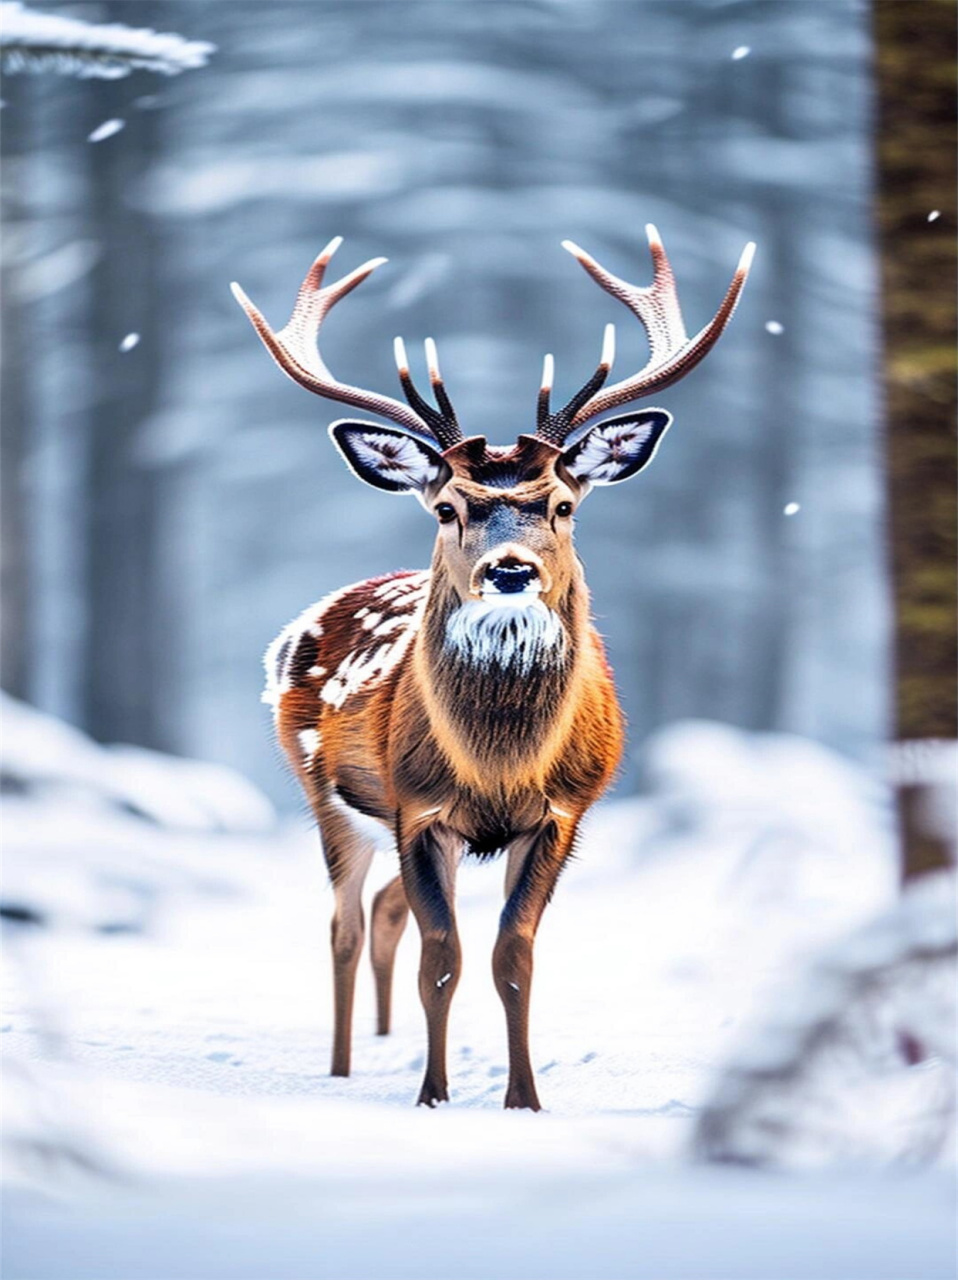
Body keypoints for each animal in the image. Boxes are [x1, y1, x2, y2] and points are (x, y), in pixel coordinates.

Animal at [232, 226, 754, 1110]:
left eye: (563, 504)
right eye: (448, 507)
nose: (510, 570)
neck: (499, 764)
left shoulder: (563, 813)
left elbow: (515, 956)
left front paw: (524, 1100)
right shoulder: (417, 807)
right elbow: (443, 959)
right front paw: (433, 1097)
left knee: (383, 914)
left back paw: (382, 1043)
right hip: (326, 796)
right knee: (345, 923)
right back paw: (343, 1066)